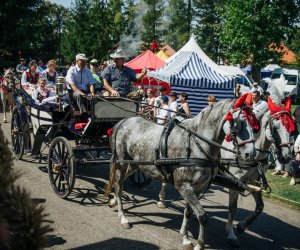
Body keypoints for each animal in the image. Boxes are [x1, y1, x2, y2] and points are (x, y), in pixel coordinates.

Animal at [105, 98, 255, 249]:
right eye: (239, 122)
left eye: (255, 125)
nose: (250, 154)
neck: (196, 144)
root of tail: (122, 122)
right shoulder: (184, 186)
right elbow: (202, 216)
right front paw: (200, 244)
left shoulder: (197, 188)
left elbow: (189, 212)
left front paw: (185, 238)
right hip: (122, 162)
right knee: (119, 186)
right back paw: (123, 217)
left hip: (135, 164)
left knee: (118, 183)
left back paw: (113, 201)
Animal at [221, 109, 292, 246]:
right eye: (276, 127)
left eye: (292, 128)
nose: (287, 157)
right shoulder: (235, 181)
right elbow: (233, 208)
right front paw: (231, 234)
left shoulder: (255, 182)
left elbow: (260, 207)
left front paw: (242, 226)